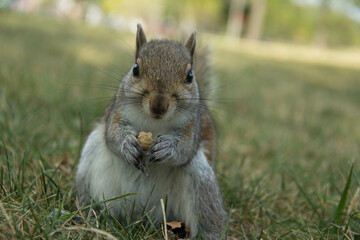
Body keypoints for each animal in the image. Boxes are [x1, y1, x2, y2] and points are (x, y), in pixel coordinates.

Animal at [75, 23, 228, 238]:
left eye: (190, 77)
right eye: (135, 69)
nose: (159, 104)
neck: (154, 124)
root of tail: (140, 215)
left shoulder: (192, 127)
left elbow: (185, 148)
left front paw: (167, 147)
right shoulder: (117, 112)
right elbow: (112, 135)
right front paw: (127, 145)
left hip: (201, 182)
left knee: (209, 216)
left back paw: (209, 234)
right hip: (91, 164)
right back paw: (87, 215)